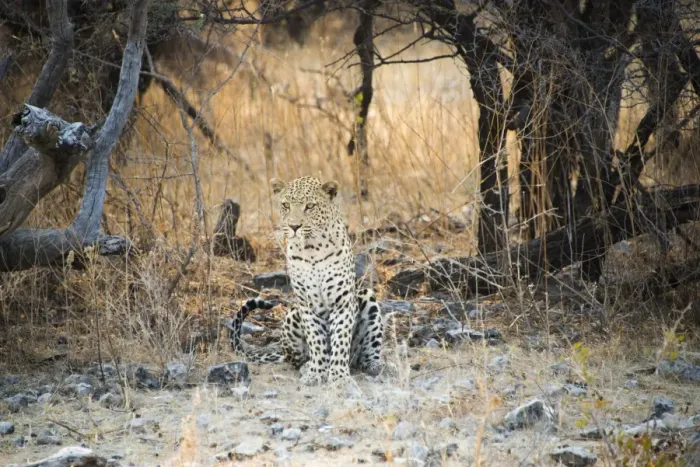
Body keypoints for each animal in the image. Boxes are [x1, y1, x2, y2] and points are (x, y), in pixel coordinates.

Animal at [225, 176, 384, 386]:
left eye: (309, 206)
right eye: (285, 205)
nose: (294, 227)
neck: (312, 249)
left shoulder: (342, 302)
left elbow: (341, 340)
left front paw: (339, 376)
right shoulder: (307, 304)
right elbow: (316, 340)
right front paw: (317, 373)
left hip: (366, 296)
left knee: (367, 351)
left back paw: (375, 365)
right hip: (293, 313)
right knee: (296, 359)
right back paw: (307, 367)